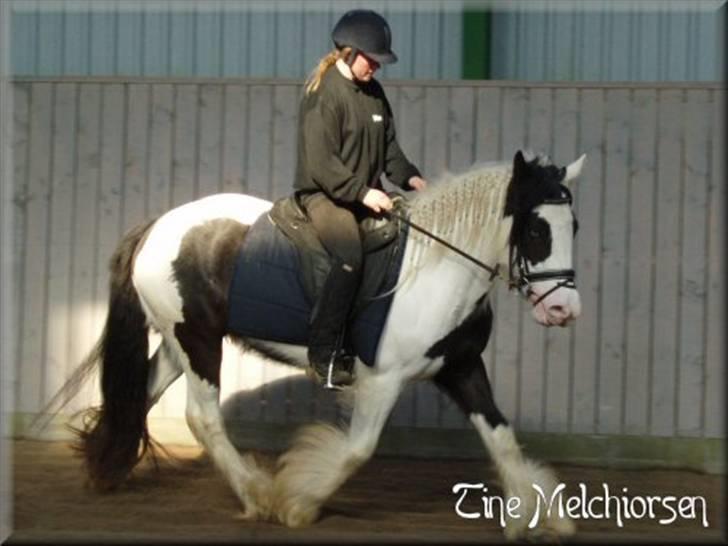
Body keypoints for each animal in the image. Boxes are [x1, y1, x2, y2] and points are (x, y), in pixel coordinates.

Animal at [38, 149, 584, 540]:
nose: (563, 310)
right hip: (198, 342)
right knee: (202, 416)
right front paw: (297, 501)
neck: (436, 267)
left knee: (139, 395)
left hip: (178, 343)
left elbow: (502, 437)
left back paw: (109, 468)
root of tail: (156, 227)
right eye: (536, 230)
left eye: (573, 227)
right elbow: (358, 449)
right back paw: (257, 494)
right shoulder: (382, 379)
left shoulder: (461, 367)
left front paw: (539, 515)